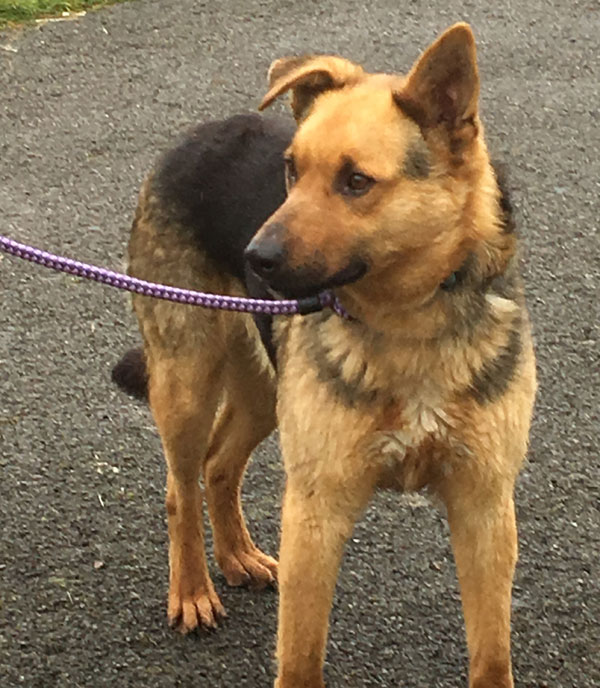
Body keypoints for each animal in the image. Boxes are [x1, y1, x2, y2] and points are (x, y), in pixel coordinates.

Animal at [113, 22, 540, 688]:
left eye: (356, 182)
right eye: (290, 171)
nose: (254, 257)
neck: (406, 324)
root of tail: (195, 135)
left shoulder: (485, 508)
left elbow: (492, 652)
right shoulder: (317, 513)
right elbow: (300, 654)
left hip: (265, 393)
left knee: (219, 464)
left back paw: (236, 556)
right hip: (188, 382)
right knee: (180, 489)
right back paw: (192, 591)